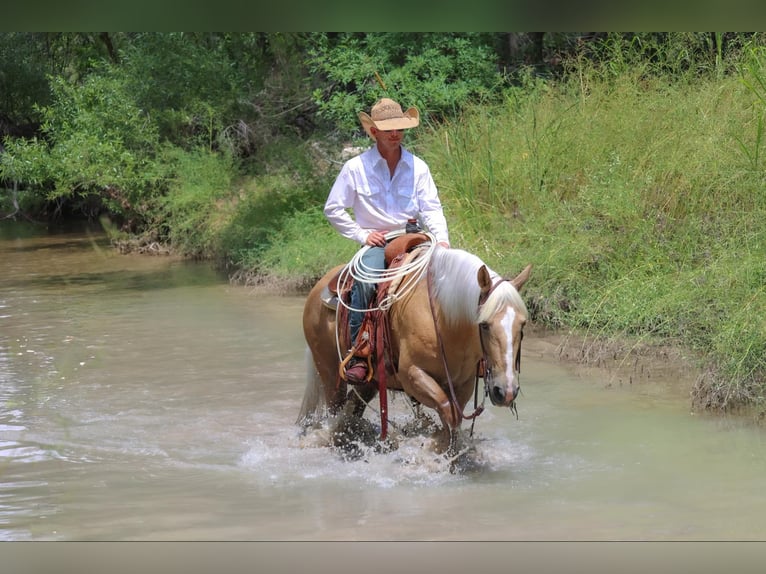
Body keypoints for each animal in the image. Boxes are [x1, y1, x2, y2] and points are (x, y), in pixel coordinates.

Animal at [297, 241, 532, 455]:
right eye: (484, 324)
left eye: (522, 324)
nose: (506, 392)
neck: (442, 318)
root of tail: (320, 285)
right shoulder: (412, 375)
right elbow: (447, 410)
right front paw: (436, 450)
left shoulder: (463, 383)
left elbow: (454, 418)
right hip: (329, 372)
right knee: (336, 411)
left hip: (370, 381)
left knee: (351, 409)